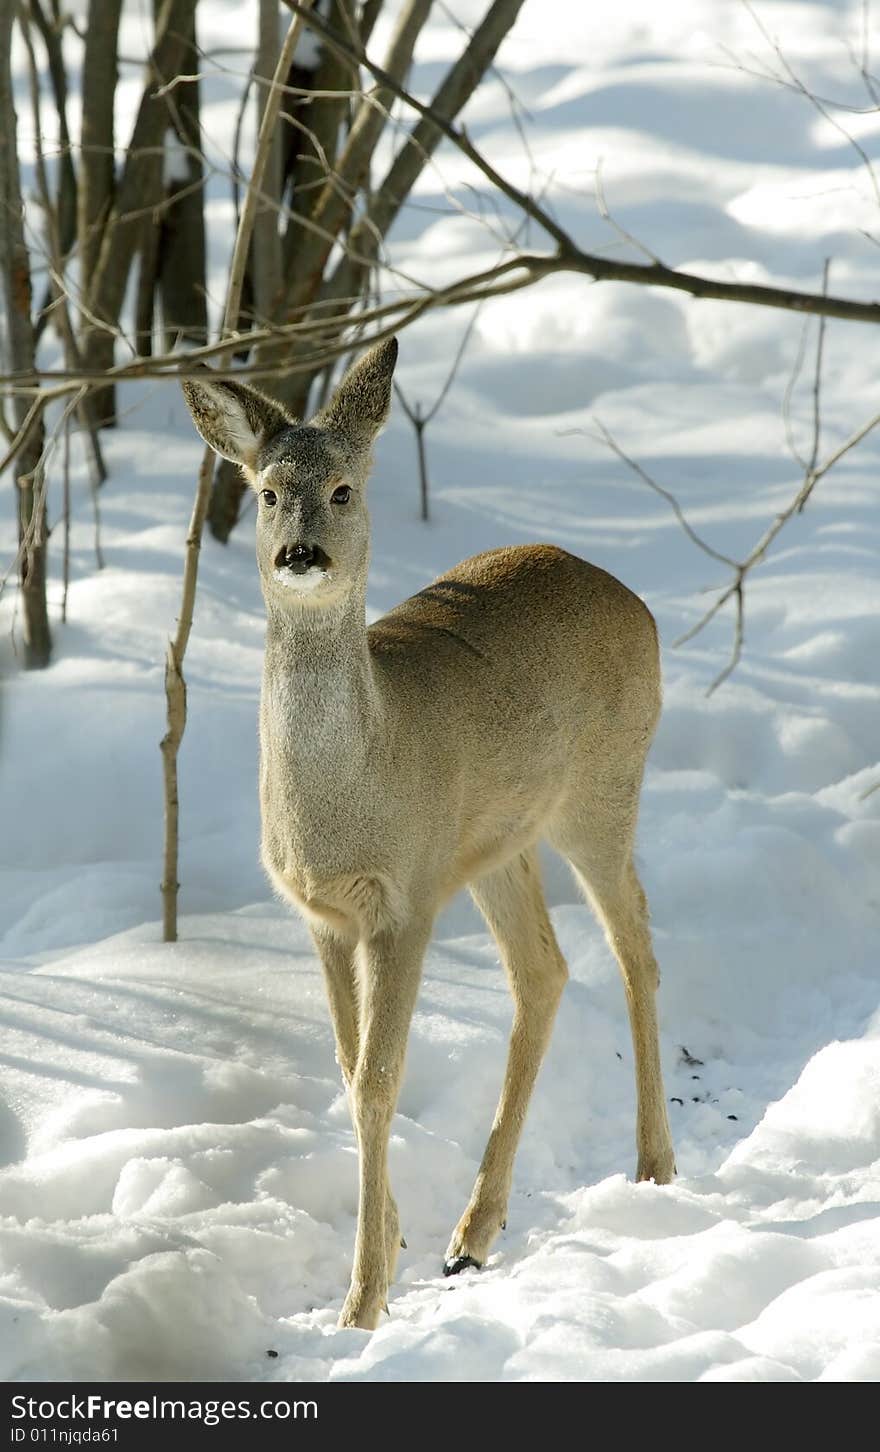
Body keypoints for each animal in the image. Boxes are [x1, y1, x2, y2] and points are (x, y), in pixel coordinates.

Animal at [180, 336, 676, 1330]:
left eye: (343, 490)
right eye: (267, 491)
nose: (298, 553)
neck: (354, 786)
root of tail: (635, 602)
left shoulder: (403, 899)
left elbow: (379, 1080)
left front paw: (363, 1299)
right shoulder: (322, 912)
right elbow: (347, 1070)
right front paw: (396, 1240)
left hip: (602, 790)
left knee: (634, 946)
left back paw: (653, 1167)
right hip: (498, 845)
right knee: (544, 971)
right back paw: (470, 1234)